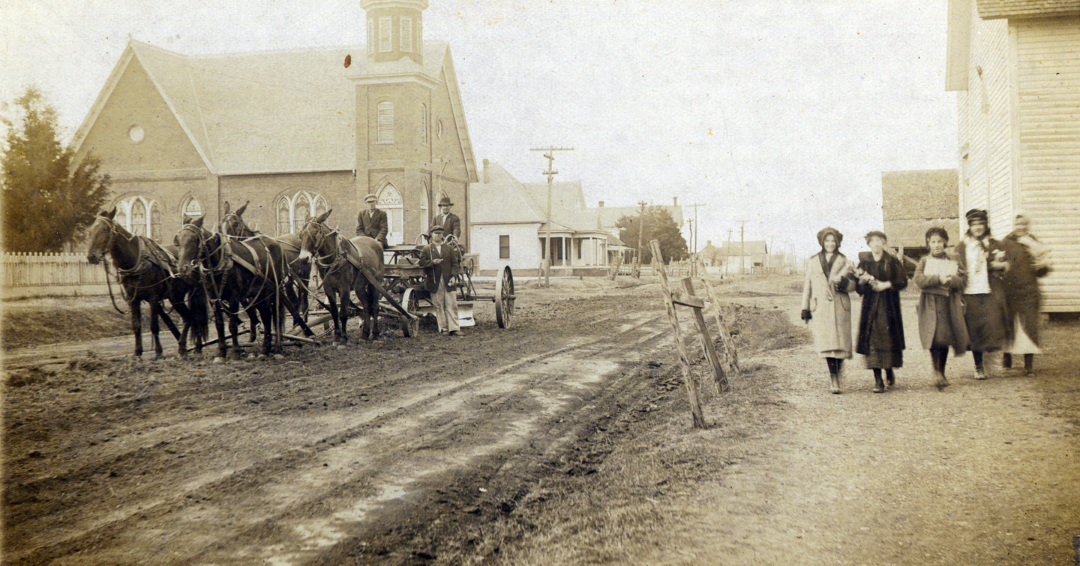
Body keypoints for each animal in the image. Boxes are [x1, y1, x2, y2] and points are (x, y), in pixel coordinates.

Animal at [86, 207, 206, 358]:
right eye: (91, 231)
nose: (91, 256)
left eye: (105, 230)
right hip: (175, 297)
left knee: (195, 317)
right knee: (190, 317)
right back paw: (188, 347)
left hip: (188, 294)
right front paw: (138, 352)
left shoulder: (153, 298)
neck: (136, 261)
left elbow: (154, 326)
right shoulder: (133, 300)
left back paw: (191, 347)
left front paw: (158, 352)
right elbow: (136, 326)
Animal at [174, 214, 306, 360]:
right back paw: (267, 348)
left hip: (272, 290)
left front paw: (236, 351)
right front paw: (221, 352)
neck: (219, 262)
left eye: (194, 239)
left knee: (273, 315)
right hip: (257, 294)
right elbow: (219, 324)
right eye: (178, 240)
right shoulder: (214, 299)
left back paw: (275, 347)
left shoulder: (234, 297)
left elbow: (232, 325)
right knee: (266, 315)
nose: (182, 268)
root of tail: (277, 244)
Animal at [219, 198, 313, 341]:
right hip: (288, 282)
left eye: (235, 223)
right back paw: (295, 326)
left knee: (304, 300)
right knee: (294, 301)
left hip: (304, 277)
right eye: (221, 224)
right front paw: (252, 334)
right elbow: (250, 308)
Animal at [298, 209, 386, 347]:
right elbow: (334, 312)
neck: (335, 259)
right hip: (359, 287)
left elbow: (344, 313)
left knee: (375, 307)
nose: (303, 258)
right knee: (366, 305)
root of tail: (375, 242)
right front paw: (336, 337)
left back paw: (375, 334)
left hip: (375, 283)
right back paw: (365, 334)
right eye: (301, 234)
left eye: (315, 232)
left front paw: (344, 339)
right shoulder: (329, 289)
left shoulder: (344, 288)